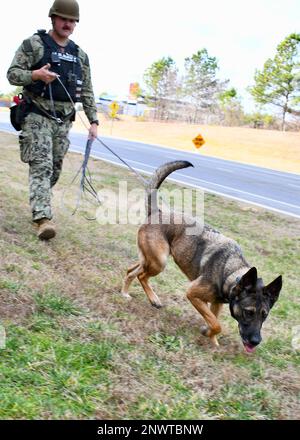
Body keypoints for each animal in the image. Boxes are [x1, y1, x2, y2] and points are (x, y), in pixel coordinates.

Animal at [120, 160, 282, 352]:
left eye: (264, 315)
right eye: (248, 312)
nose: (256, 341)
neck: (230, 273)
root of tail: (157, 212)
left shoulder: (215, 303)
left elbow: (213, 321)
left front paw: (211, 339)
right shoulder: (192, 293)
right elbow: (218, 324)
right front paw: (209, 332)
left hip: (150, 259)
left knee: (131, 271)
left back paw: (125, 292)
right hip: (159, 262)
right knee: (142, 276)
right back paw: (152, 299)